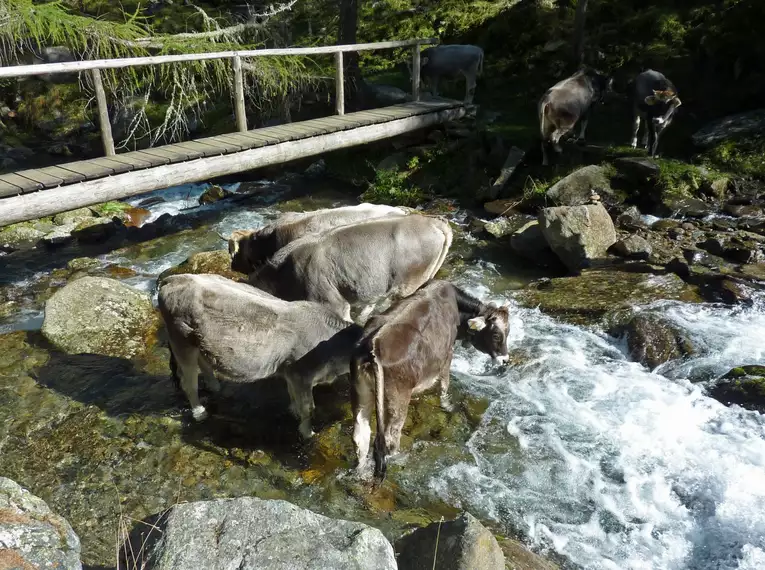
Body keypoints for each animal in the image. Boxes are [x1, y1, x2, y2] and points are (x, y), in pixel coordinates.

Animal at [157, 272, 362, 438]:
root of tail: (173, 278)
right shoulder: (301, 374)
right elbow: (308, 408)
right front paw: (307, 433)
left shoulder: (290, 371)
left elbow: (292, 394)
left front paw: (293, 411)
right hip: (181, 342)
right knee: (189, 383)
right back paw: (200, 412)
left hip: (197, 342)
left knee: (204, 363)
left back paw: (214, 386)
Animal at [350, 280, 508, 480]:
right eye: (496, 335)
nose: (506, 360)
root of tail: (372, 345)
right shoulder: (447, 354)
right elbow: (444, 386)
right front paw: (448, 406)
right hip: (397, 399)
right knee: (390, 438)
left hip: (361, 393)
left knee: (360, 436)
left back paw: (361, 472)